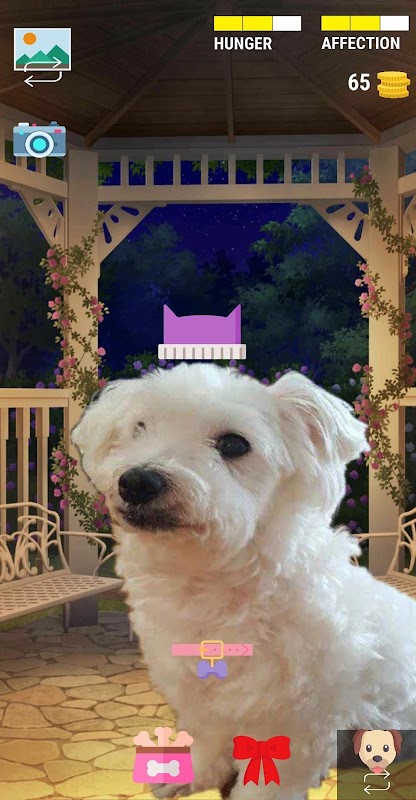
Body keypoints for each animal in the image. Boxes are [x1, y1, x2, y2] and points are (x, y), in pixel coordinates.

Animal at [72, 363, 416, 800]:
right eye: (140, 428)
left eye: (234, 444)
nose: (137, 481)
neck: (217, 583)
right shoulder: (202, 697)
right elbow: (208, 743)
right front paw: (190, 774)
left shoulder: (295, 722)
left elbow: (267, 781)